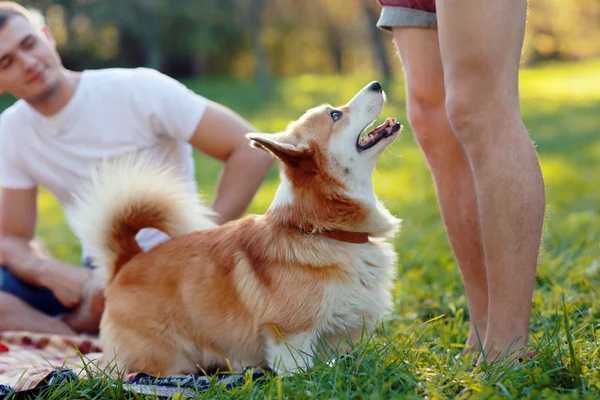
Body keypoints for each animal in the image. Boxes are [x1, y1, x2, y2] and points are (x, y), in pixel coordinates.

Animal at [67, 82, 404, 378]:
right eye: (335, 115)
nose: (376, 84)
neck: (320, 228)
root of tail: (126, 261)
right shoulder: (290, 334)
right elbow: (300, 375)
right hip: (165, 356)